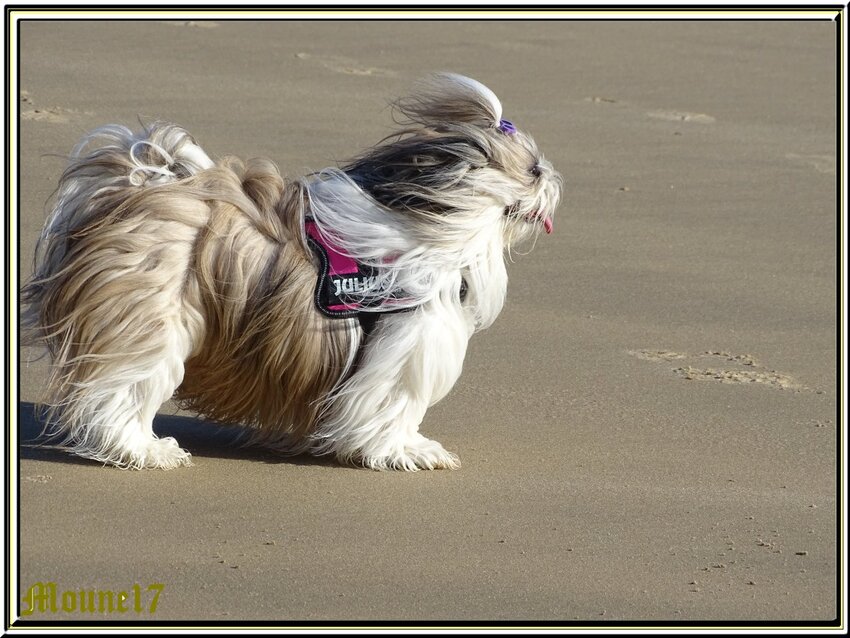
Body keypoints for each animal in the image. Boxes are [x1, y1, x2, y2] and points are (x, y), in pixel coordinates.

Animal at [19, 76, 560, 476]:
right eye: (533, 170)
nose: (555, 180)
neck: (440, 222)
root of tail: (130, 194)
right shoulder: (406, 346)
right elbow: (393, 408)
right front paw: (411, 451)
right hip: (149, 321)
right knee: (122, 392)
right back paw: (145, 450)